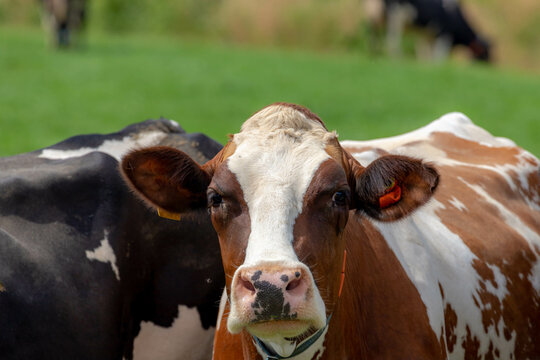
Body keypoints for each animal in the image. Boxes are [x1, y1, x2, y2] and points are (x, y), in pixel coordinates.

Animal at [364, 0, 492, 62]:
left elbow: (425, 54)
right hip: (396, 16)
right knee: (392, 39)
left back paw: (374, 55)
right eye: (486, 52)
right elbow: (438, 58)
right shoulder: (444, 36)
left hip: (376, 17)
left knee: (373, 36)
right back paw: (396, 58)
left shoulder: (427, 36)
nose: (491, 62)